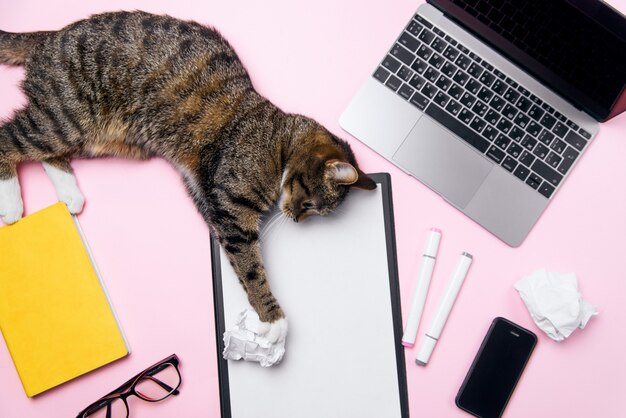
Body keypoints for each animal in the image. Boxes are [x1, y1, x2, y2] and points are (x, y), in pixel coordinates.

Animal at [0, 10, 370, 340]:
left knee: (48, 153)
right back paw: (12, 204)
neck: (279, 140)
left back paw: (69, 194)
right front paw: (273, 319)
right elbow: (251, 268)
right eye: (310, 205)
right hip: (65, 118)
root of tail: (50, 36)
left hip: (99, 136)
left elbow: (237, 263)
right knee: (8, 138)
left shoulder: (211, 204)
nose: (296, 218)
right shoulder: (232, 211)